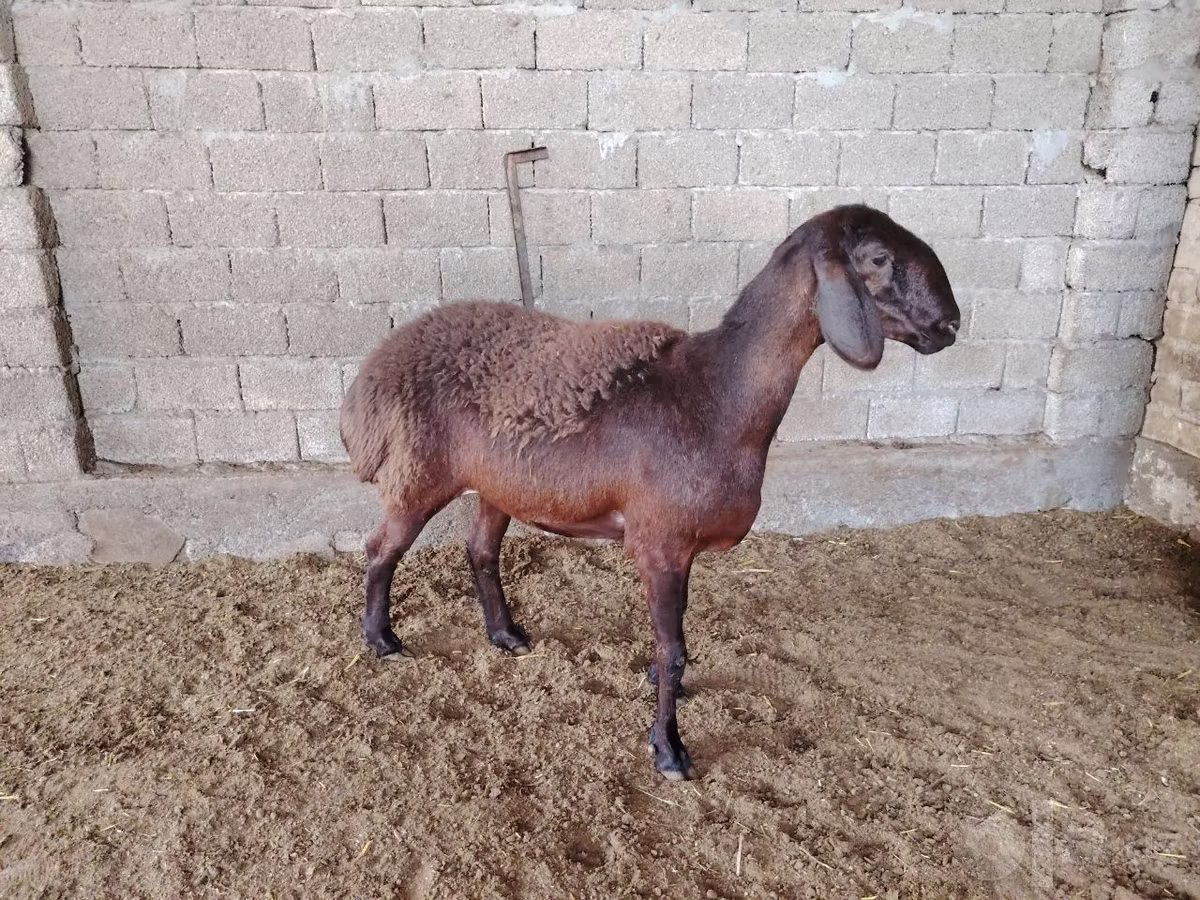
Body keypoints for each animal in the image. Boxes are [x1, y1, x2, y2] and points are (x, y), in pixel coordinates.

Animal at [340, 204, 960, 781]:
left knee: (481, 551)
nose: (950, 326)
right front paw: (669, 748)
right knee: (381, 548)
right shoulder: (659, 542)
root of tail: (375, 373)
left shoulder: (681, 547)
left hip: (498, 484)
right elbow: (674, 646)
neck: (717, 396)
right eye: (877, 258)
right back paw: (381, 639)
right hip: (417, 473)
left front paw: (663, 691)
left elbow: (676, 636)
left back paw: (506, 636)